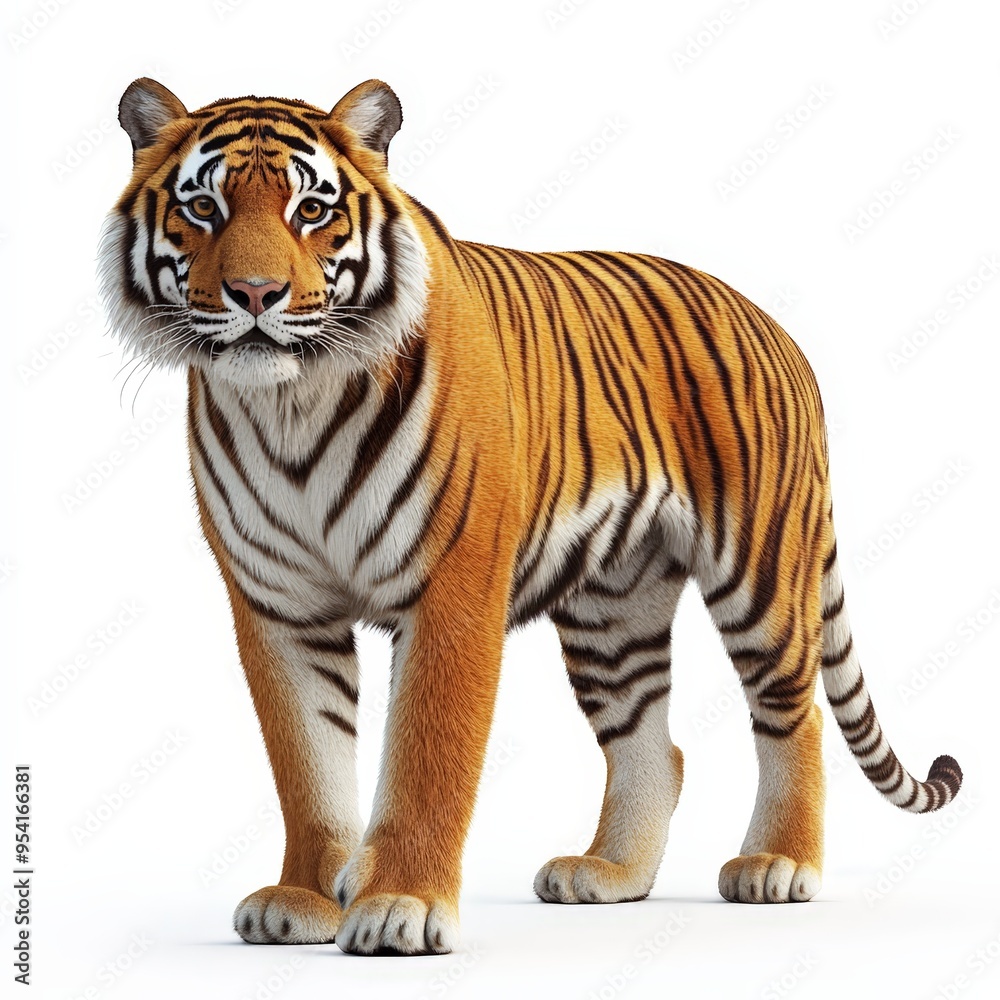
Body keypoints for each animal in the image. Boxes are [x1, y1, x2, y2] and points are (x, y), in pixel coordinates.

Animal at [99, 77, 963, 956]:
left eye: (310, 210)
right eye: (203, 208)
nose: (254, 296)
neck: (292, 402)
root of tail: (774, 325)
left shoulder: (451, 590)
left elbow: (428, 759)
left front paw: (401, 906)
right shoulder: (278, 606)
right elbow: (307, 761)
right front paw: (306, 899)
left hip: (759, 568)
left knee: (797, 712)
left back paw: (778, 863)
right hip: (613, 612)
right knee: (657, 745)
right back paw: (608, 873)